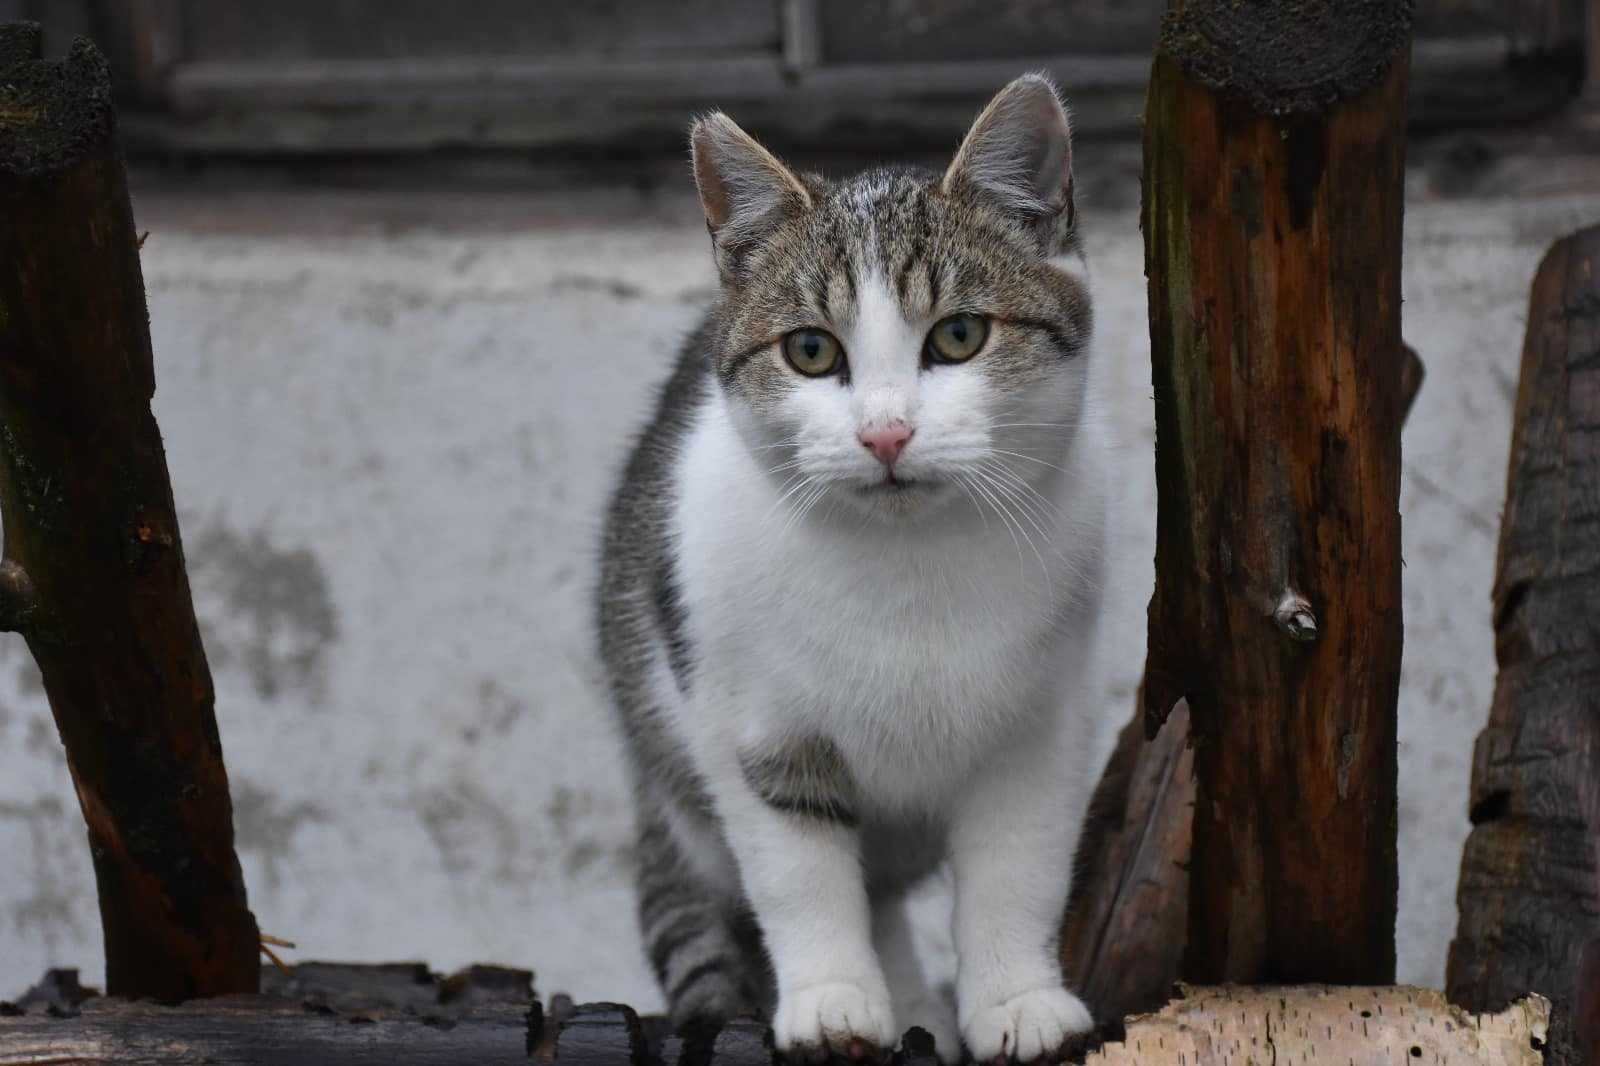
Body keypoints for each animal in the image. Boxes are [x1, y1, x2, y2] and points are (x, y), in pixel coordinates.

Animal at [595, 72, 1107, 1056]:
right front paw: (834, 999)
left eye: (958, 336)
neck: (905, 567)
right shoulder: (751, 726)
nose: (885, 433)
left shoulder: (1040, 724)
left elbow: (1015, 868)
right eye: (810, 350)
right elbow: (800, 875)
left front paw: (1016, 1001)